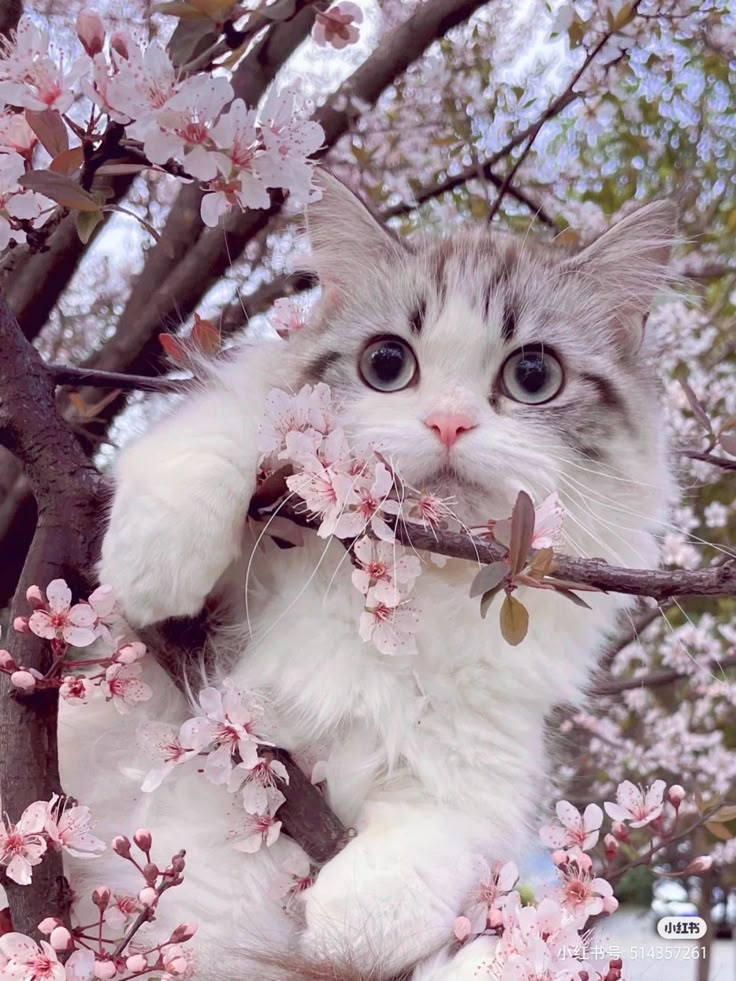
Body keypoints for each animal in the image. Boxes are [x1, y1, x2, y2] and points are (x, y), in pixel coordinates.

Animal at [59, 172, 680, 976]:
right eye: (387, 365)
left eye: (533, 375)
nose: (448, 422)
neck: (407, 583)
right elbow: (230, 426)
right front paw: (157, 560)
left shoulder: (491, 747)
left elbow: (443, 830)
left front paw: (349, 922)